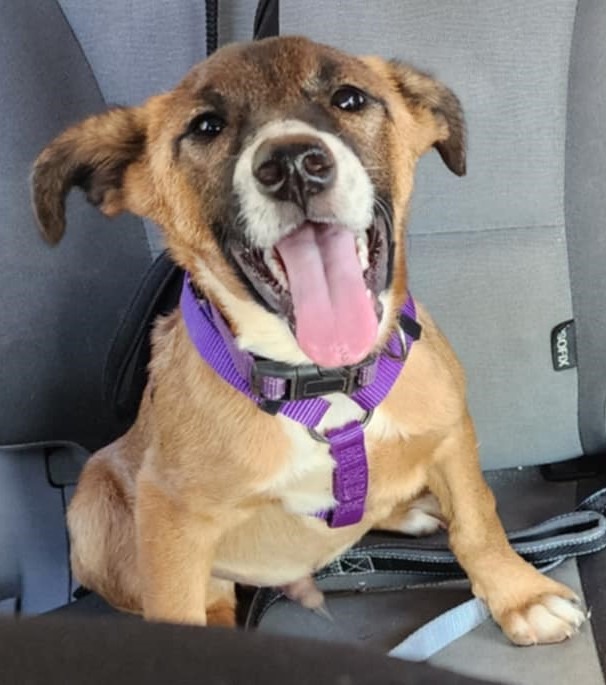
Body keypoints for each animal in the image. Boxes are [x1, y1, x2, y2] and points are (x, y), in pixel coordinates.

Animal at [32, 36, 586, 645]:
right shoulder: (171, 515)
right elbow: (177, 608)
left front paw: (520, 595)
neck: (323, 382)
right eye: (206, 126)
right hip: (92, 503)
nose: (294, 165)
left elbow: (478, 519)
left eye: (350, 98)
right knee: (211, 597)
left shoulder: (450, 429)